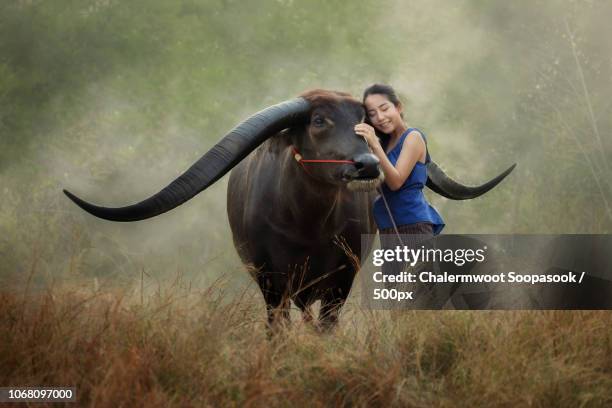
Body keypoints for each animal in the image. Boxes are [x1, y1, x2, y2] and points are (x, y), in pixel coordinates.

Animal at [63, 88, 516, 328]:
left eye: (365, 119)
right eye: (318, 120)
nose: (368, 163)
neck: (307, 226)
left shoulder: (342, 281)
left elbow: (326, 326)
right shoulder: (271, 283)